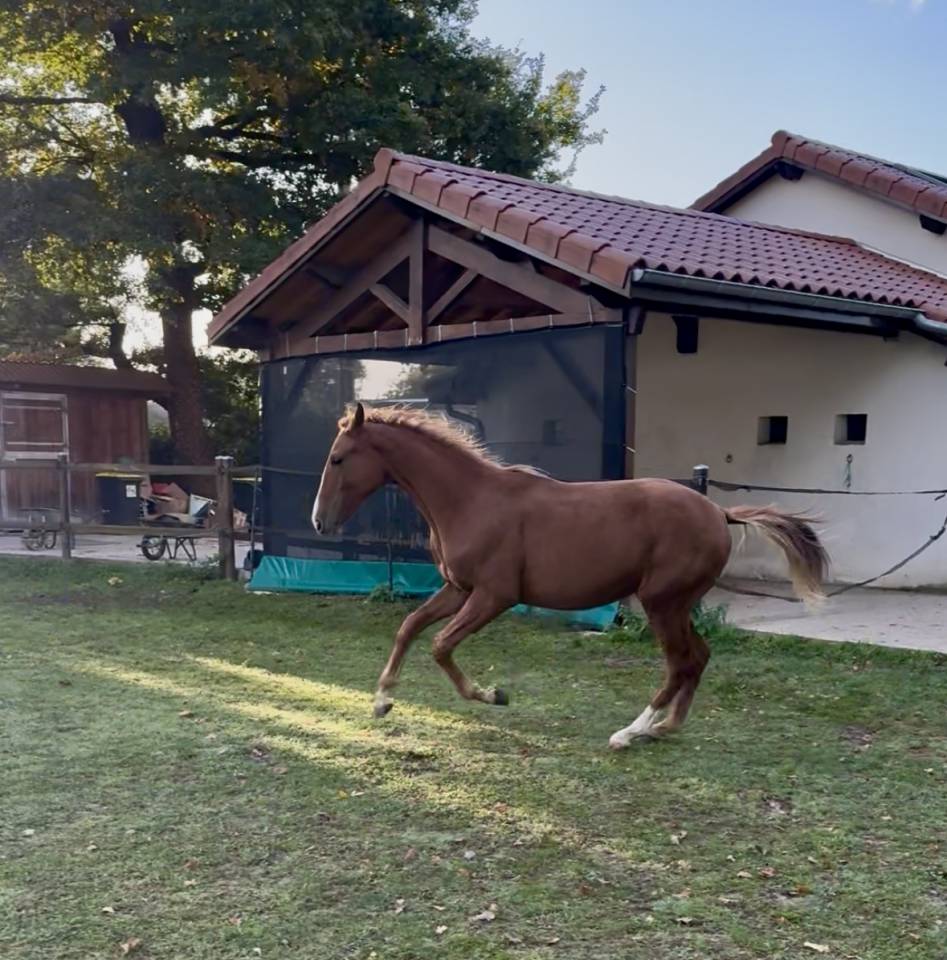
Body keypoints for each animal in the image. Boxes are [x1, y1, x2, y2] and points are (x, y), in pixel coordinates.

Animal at [311, 403, 828, 748]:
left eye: (337, 458)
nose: (318, 521)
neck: (470, 499)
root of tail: (719, 514)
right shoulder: (459, 589)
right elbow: (410, 627)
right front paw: (382, 700)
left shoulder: (493, 596)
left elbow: (439, 645)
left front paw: (492, 694)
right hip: (677, 605)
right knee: (697, 658)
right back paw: (666, 727)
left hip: (662, 603)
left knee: (679, 663)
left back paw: (629, 732)